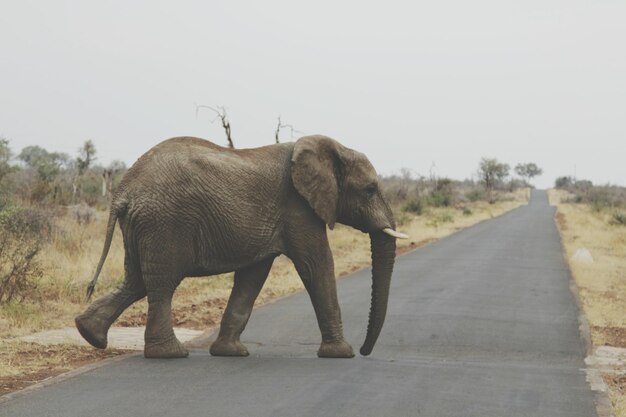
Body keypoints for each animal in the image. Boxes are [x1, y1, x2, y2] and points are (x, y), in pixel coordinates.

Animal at [74, 134, 404, 358]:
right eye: (370, 190)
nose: (365, 351)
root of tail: (124, 190)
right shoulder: (298, 208)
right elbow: (317, 265)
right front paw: (341, 353)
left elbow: (252, 277)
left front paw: (230, 352)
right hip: (164, 223)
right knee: (161, 283)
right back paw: (170, 354)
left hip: (142, 225)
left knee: (136, 280)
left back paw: (89, 333)